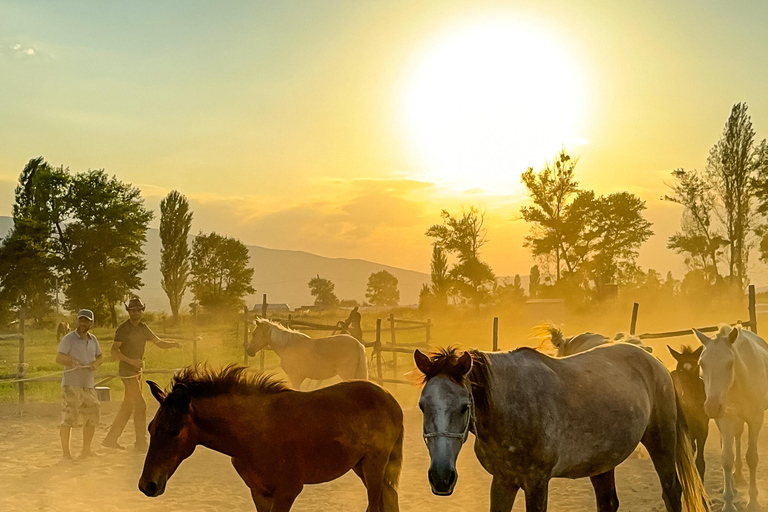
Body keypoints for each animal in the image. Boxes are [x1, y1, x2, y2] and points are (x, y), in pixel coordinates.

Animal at [139, 365, 403, 512]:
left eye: (175, 431)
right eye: (150, 428)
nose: (147, 485)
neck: (253, 434)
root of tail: (389, 397)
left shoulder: (288, 491)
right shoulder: (260, 493)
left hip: (374, 465)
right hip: (361, 467)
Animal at [694, 325, 768, 511]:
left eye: (730, 363)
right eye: (702, 364)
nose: (712, 407)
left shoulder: (756, 418)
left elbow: (752, 458)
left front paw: (753, 501)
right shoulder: (726, 418)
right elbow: (727, 458)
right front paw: (728, 503)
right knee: (735, 439)